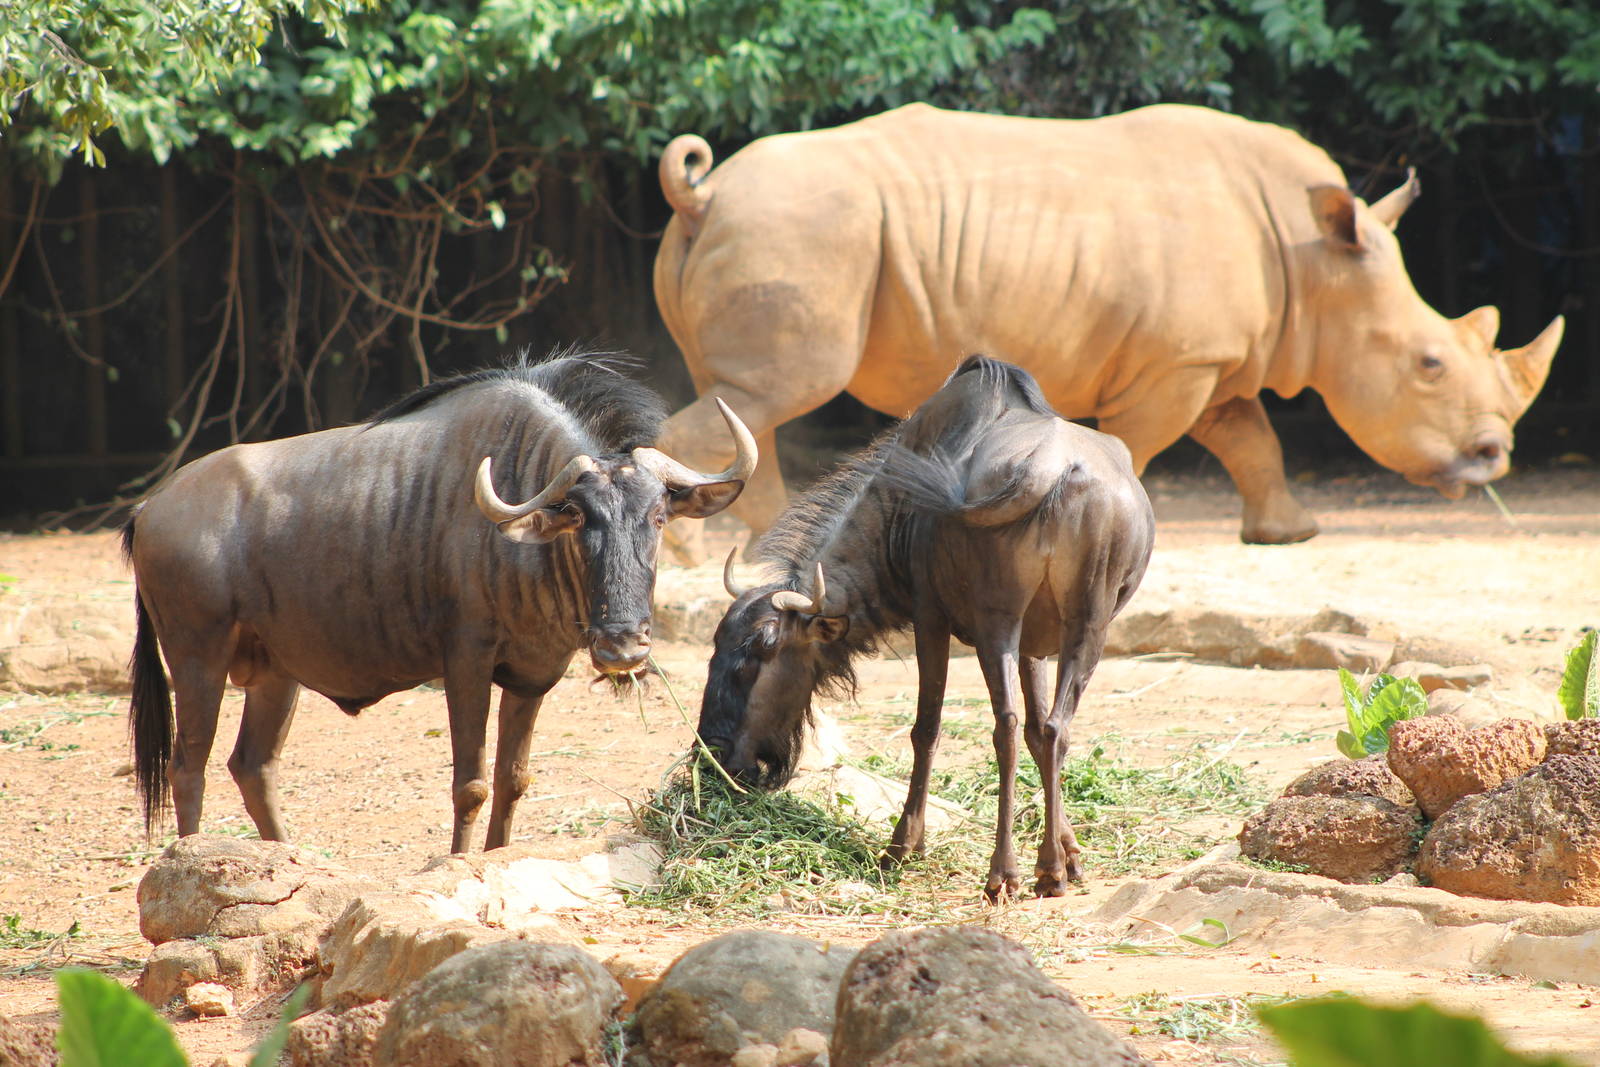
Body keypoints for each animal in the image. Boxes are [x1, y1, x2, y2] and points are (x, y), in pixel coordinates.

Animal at [651, 103, 1563, 553]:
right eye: (1429, 364)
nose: (1496, 458)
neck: (1319, 268)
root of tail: (703, 192)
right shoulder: (1176, 363)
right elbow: (1146, 443)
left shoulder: (1212, 363)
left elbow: (1251, 438)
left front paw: (1289, 533)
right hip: (803, 229)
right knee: (772, 392)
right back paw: (701, 553)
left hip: (775, 229)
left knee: (744, 401)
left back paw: (763, 544)